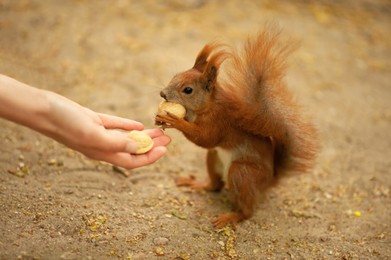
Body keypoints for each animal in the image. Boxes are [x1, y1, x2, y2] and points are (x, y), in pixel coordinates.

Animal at [155, 25, 320, 229]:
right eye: (175, 76)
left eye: (188, 90)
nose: (162, 94)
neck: (208, 106)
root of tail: (269, 180)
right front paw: (162, 119)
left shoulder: (220, 122)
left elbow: (205, 138)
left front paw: (175, 121)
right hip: (214, 158)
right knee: (214, 185)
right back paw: (197, 184)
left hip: (242, 174)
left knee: (247, 211)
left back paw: (230, 217)